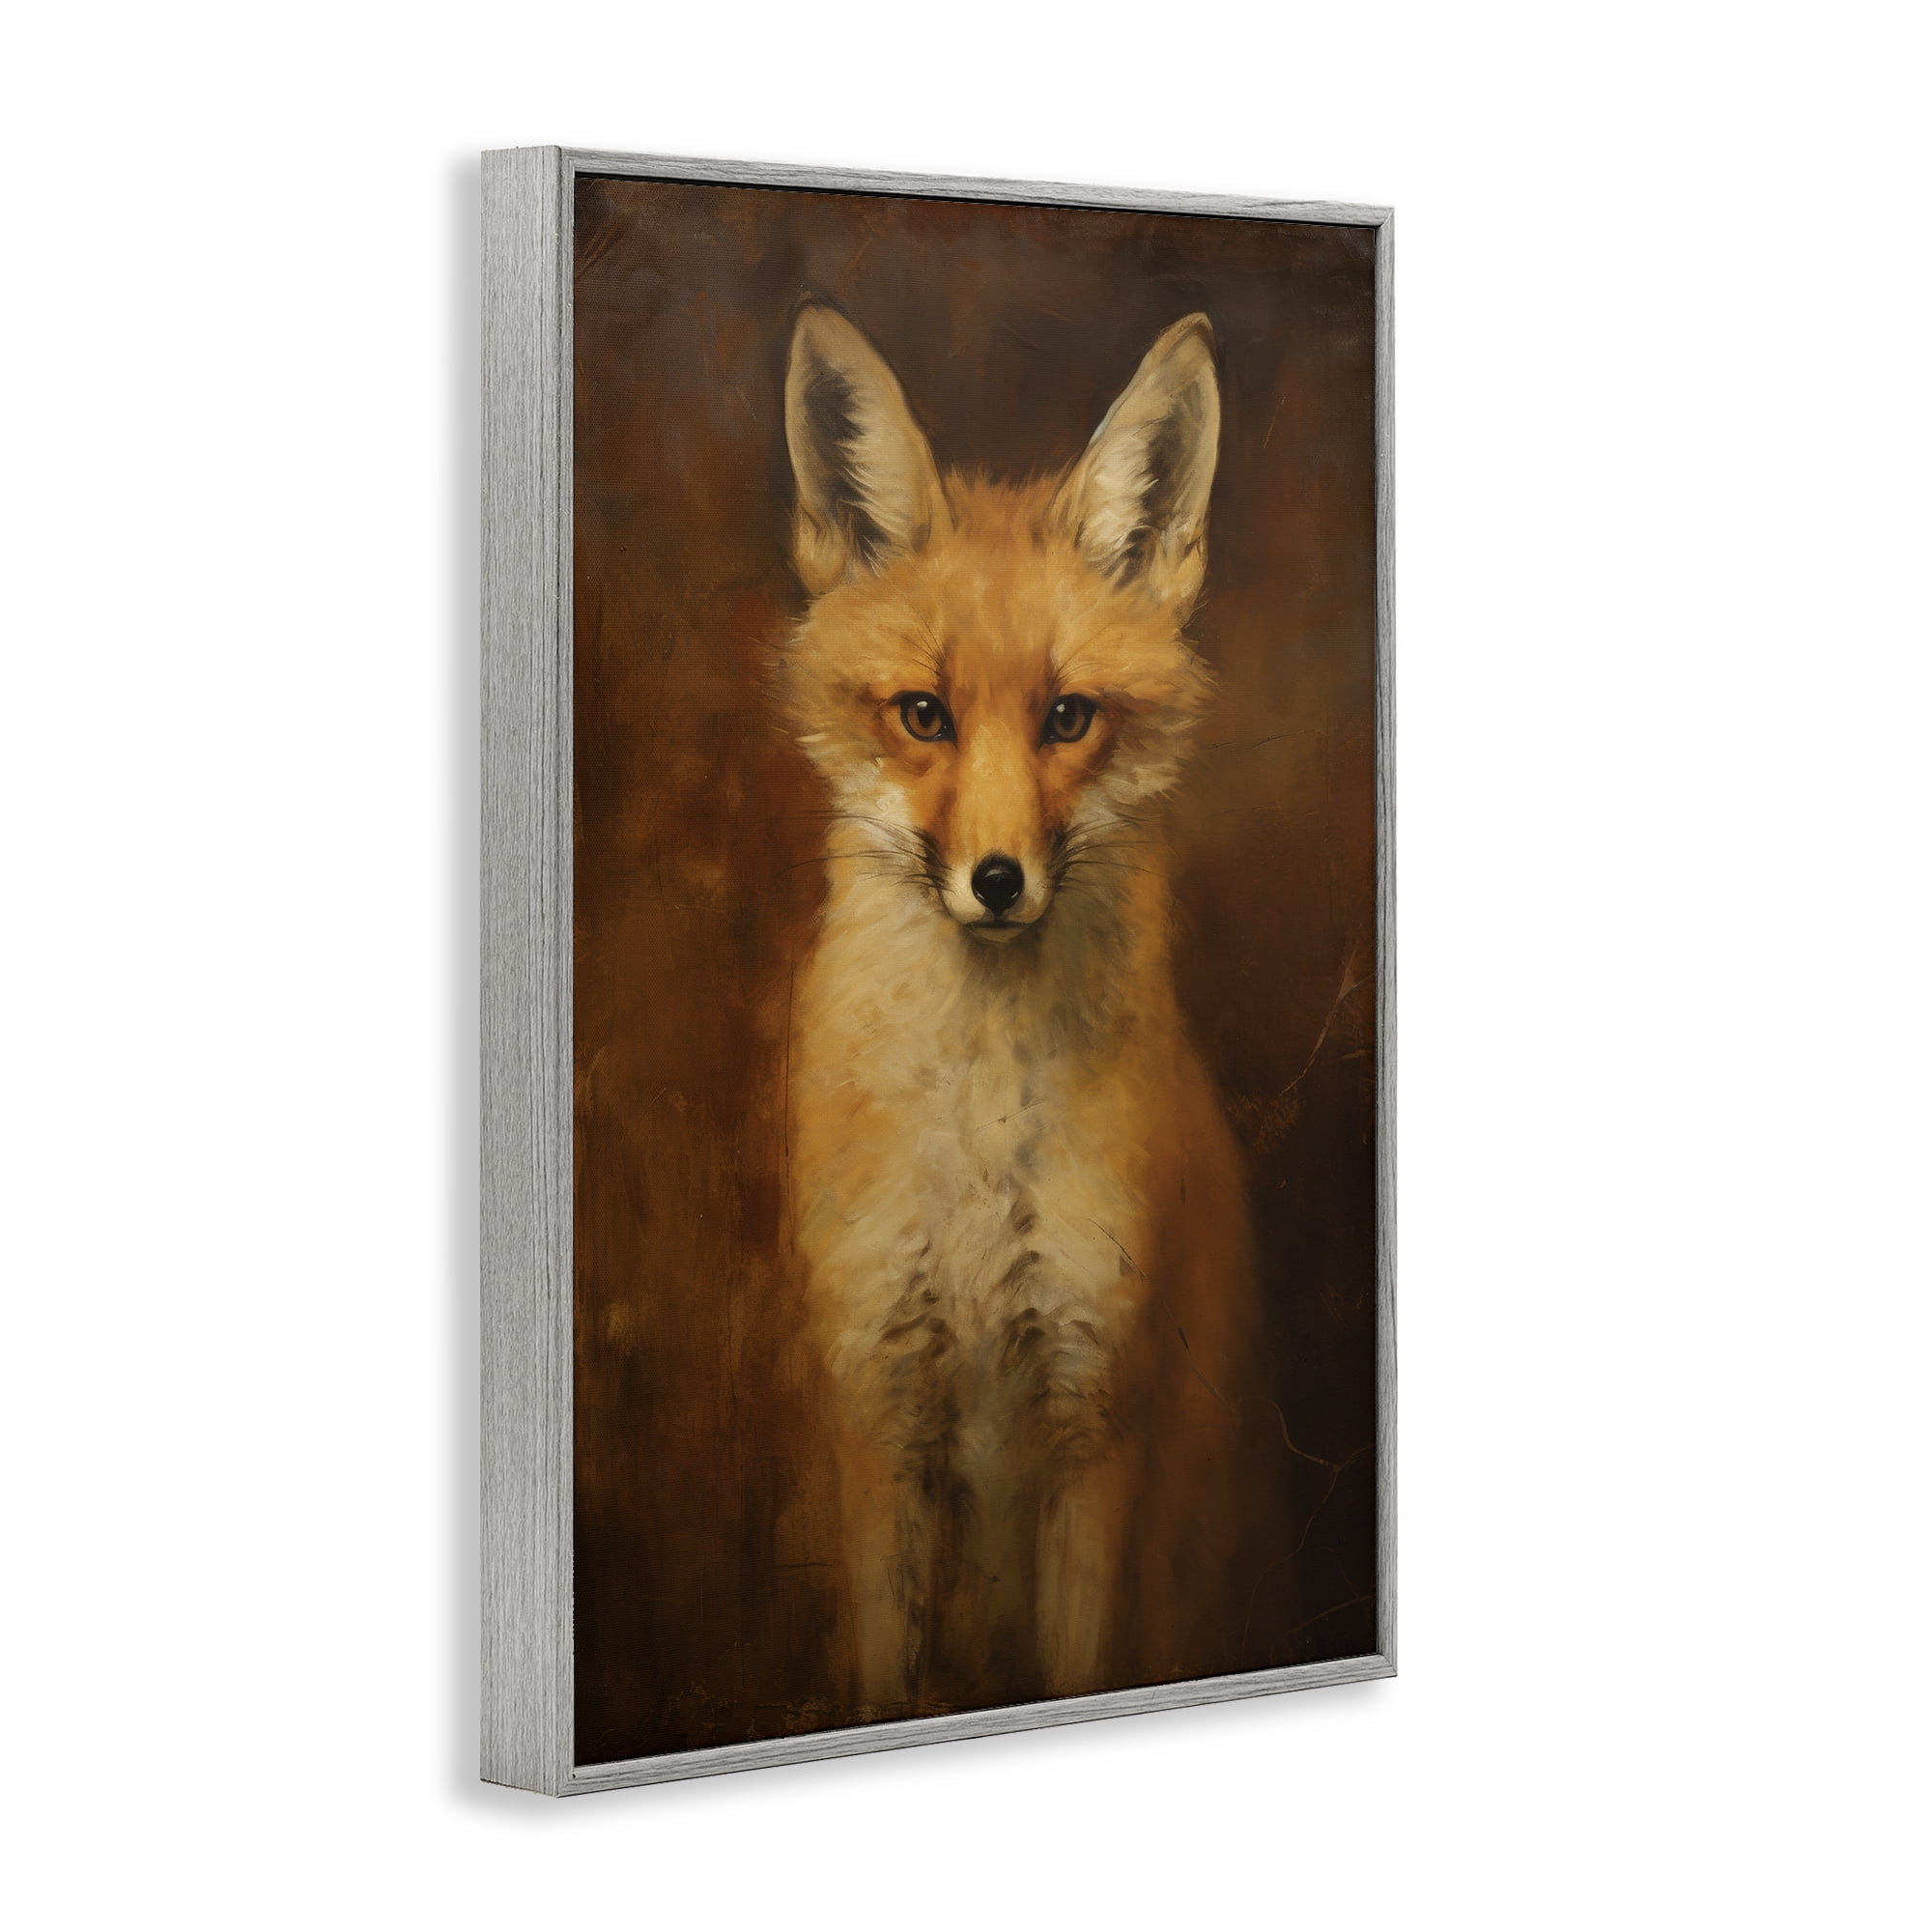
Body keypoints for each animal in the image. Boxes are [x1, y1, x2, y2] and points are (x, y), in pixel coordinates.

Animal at [778, 303, 1270, 1717]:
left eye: (1066, 718)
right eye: (923, 714)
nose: (996, 881)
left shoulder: (1096, 1419)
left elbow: (1076, 1661)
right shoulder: (881, 1409)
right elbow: (885, 1686)